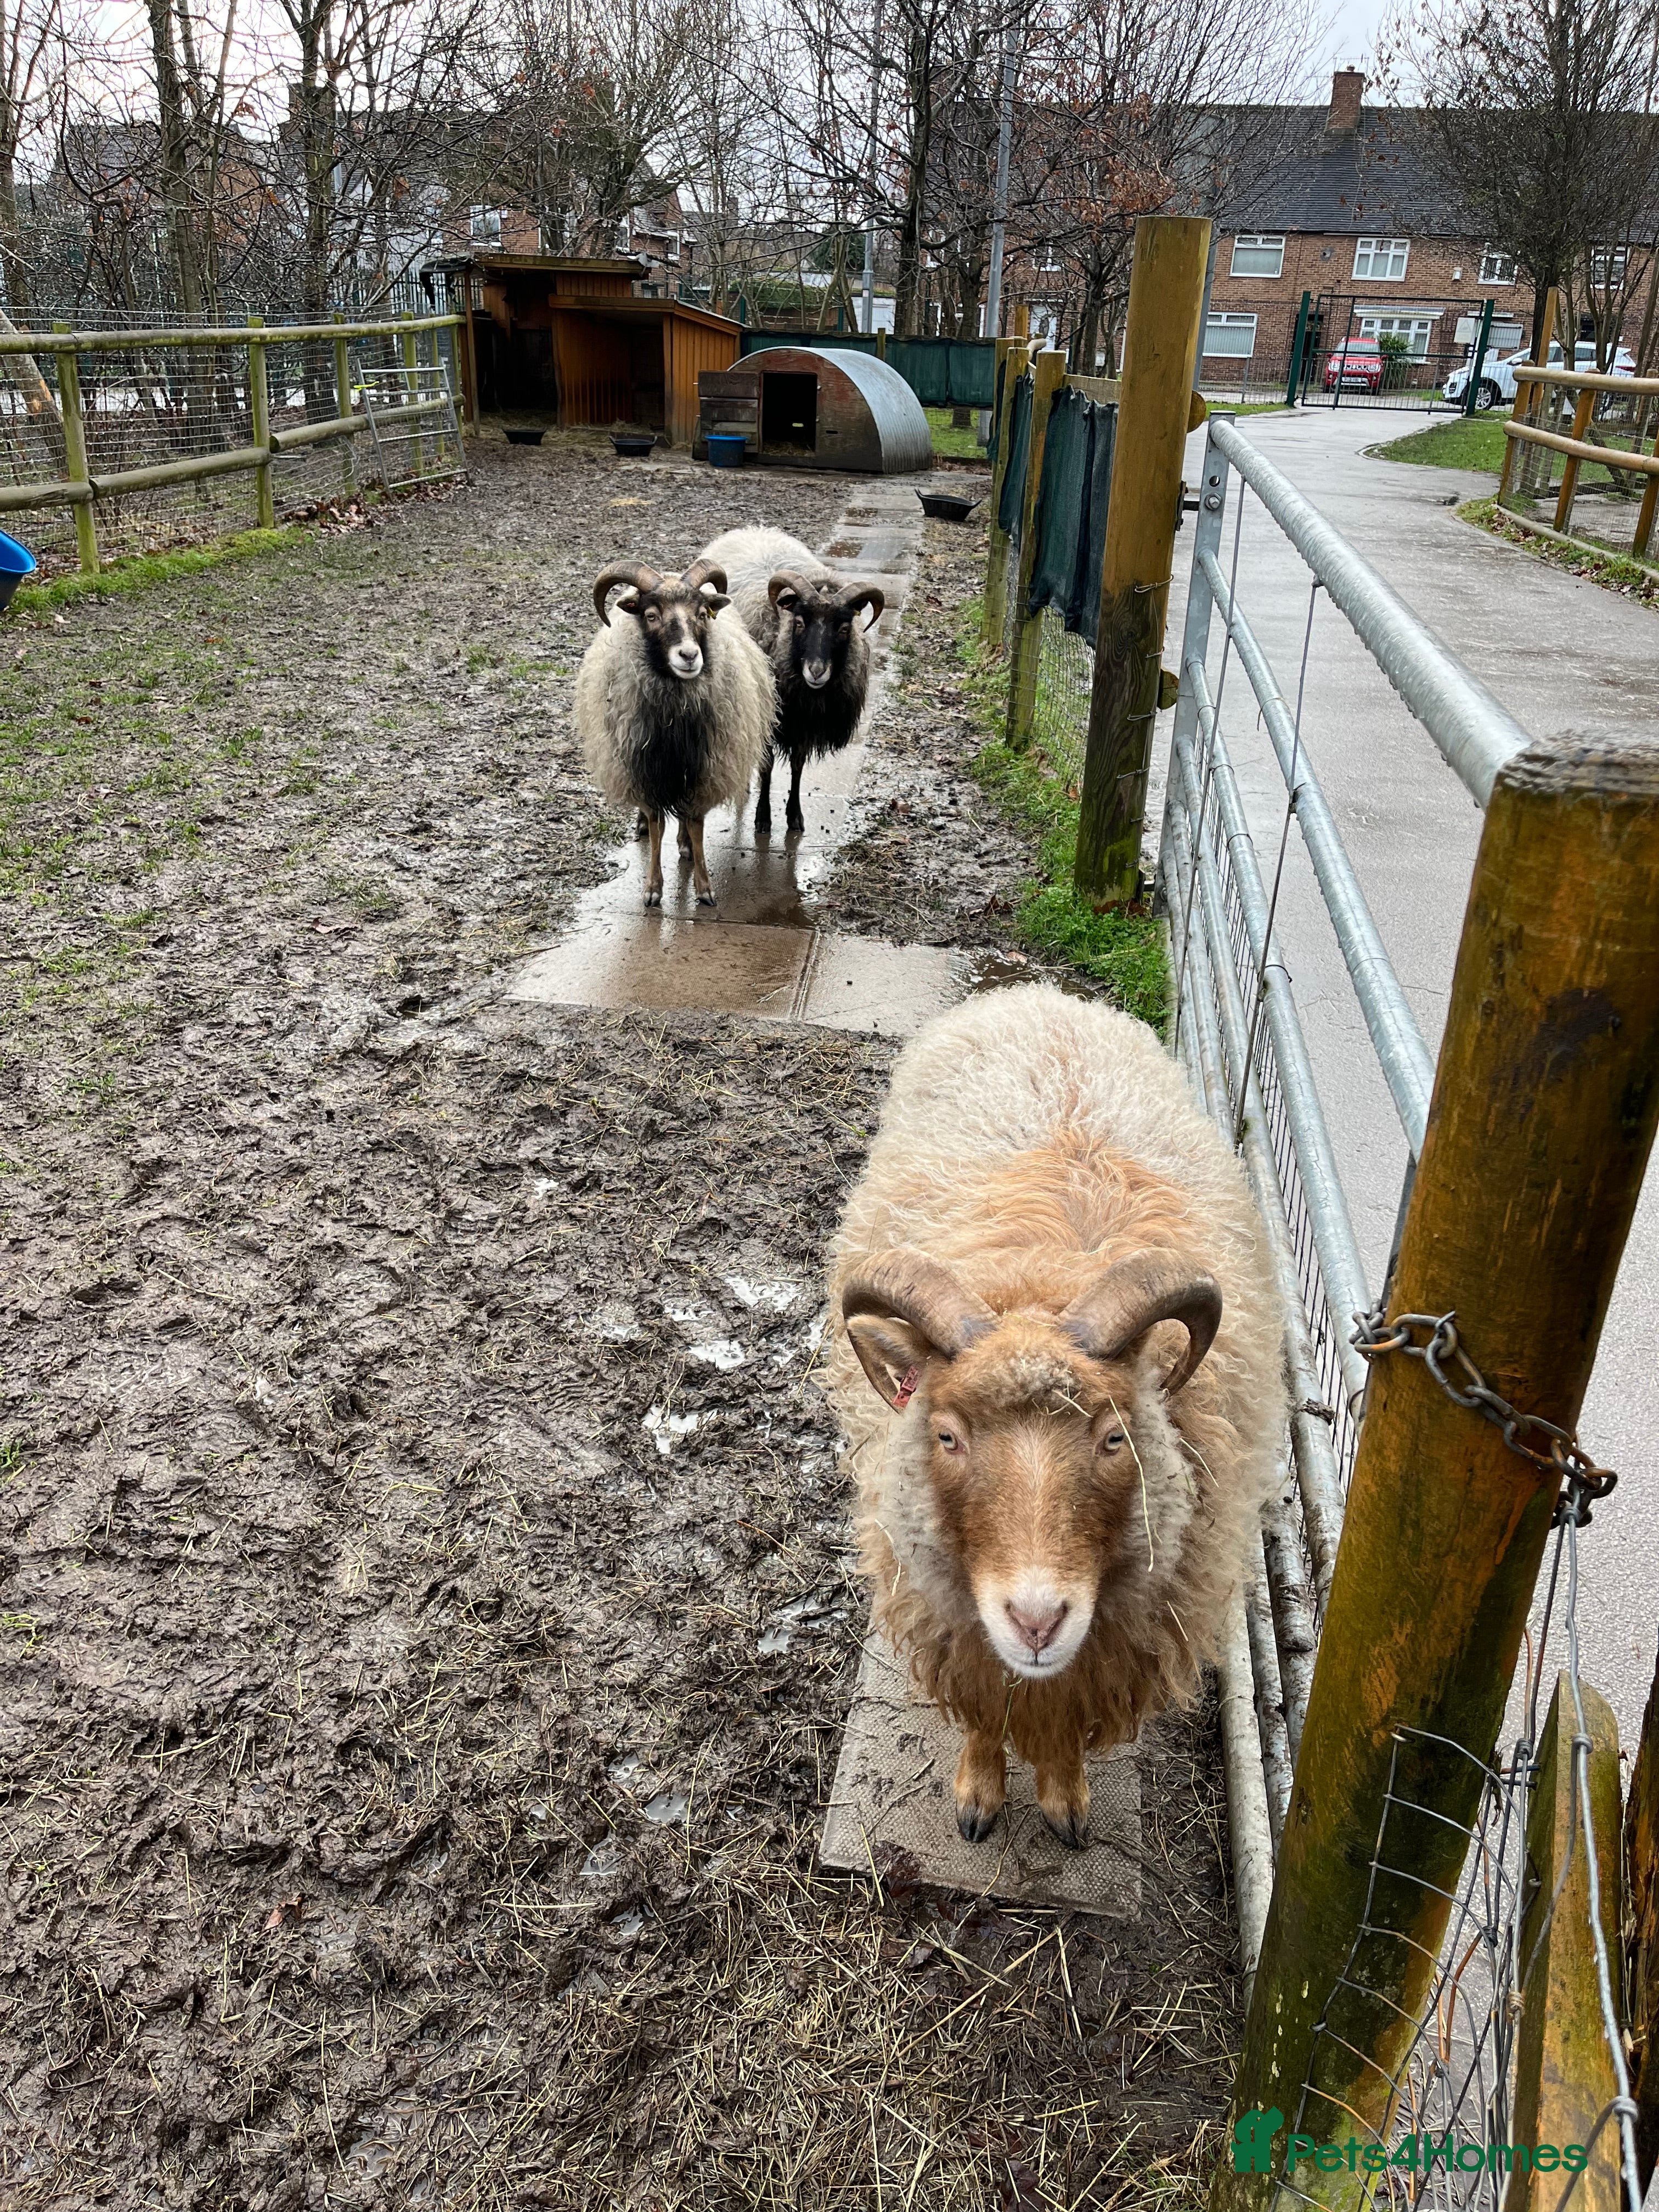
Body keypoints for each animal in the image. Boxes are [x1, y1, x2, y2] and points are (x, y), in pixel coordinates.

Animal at [575, 556, 775, 907]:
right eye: (651, 616)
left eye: (701, 614)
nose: (689, 656)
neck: (674, 718)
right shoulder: (648, 771)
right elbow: (657, 827)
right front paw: (653, 889)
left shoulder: (702, 767)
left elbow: (695, 823)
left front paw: (705, 887)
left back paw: (685, 848)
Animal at [697, 526, 884, 837]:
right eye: (799, 623)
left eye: (845, 629)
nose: (817, 672)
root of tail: (752, 530)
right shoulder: (772, 717)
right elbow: (768, 766)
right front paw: (763, 817)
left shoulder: (805, 724)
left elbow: (797, 766)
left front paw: (795, 816)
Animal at [824, 984, 1286, 1850]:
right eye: (947, 1435)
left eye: (1114, 1438)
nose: (1037, 1622)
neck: (1044, 1286)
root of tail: (1041, 995)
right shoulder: (961, 1632)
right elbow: (983, 1715)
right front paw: (977, 1798)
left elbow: (1065, 1734)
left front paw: (1066, 1804)